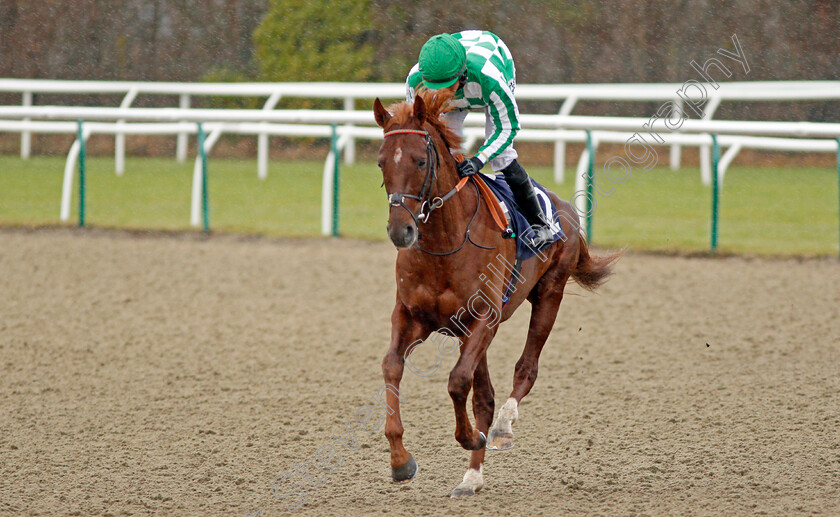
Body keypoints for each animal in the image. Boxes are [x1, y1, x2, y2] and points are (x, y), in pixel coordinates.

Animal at [370, 88, 620, 496]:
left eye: (421, 161)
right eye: (380, 164)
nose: (400, 230)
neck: (445, 241)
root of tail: (565, 207)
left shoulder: (485, 317)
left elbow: (457, 382)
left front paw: (471, 436)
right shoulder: (411, 315)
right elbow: (392, 366)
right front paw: (400, 460)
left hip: (549, 295)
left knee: (525, 370)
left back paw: (501, 428)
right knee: (484, 396)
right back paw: (471, 477)